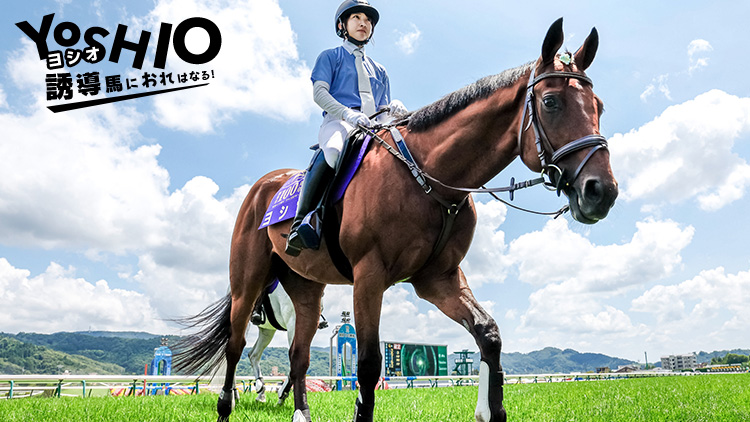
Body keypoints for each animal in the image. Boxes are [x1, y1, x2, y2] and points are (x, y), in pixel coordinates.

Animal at [174, 18, 618, 422]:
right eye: (551, 103)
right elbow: (369, 364)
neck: (427, 176)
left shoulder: (438, 279)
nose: (602, 191)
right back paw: (226, 408)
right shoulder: (370, 275)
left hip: (306, 290)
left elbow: (488, 334)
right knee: (235, 346)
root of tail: (266, 185)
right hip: (247, 282)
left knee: (298, 355)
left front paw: (490, 411)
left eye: (599, 107)